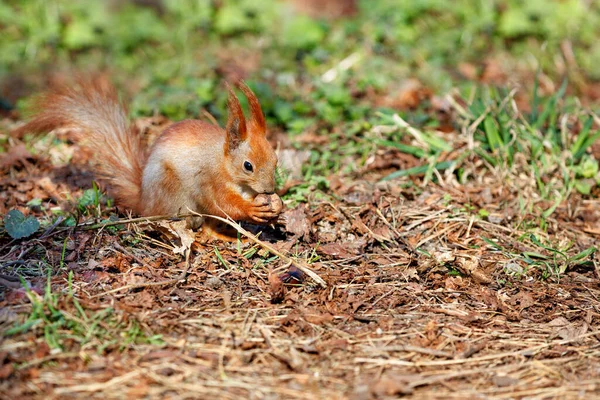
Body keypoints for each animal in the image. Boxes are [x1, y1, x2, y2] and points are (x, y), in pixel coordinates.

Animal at [14, 77, 284, 228]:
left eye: (276, 160)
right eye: (248, 166)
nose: (269, 189)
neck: (223, 162)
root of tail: (143, 200)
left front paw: (276, 208)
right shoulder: (209, 180)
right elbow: (222, 204)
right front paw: (252, 211)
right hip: (172, 191)